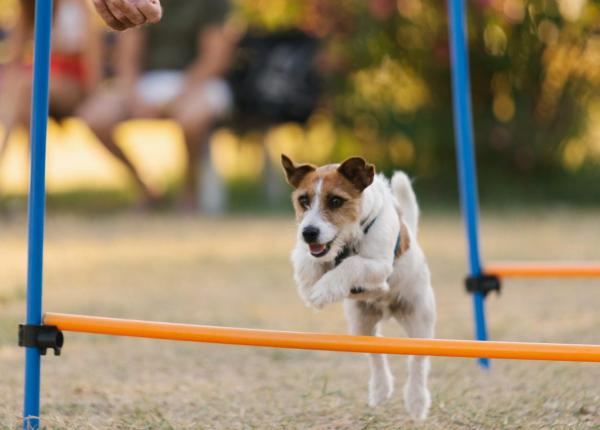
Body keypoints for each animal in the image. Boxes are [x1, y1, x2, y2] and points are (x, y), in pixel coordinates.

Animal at [282, 154, 436, 420]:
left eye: (335, 201)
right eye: (303, 200)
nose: (308, 233)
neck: (350, 238)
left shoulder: (379, 267)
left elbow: (352, 264)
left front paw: (323, 290)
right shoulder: (309, 251)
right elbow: (305, 259)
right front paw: (308, 283)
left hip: (419, 319)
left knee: (417, 361)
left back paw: (416, 402)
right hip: (361, 322)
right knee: (375, 349)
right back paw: (380, 389)